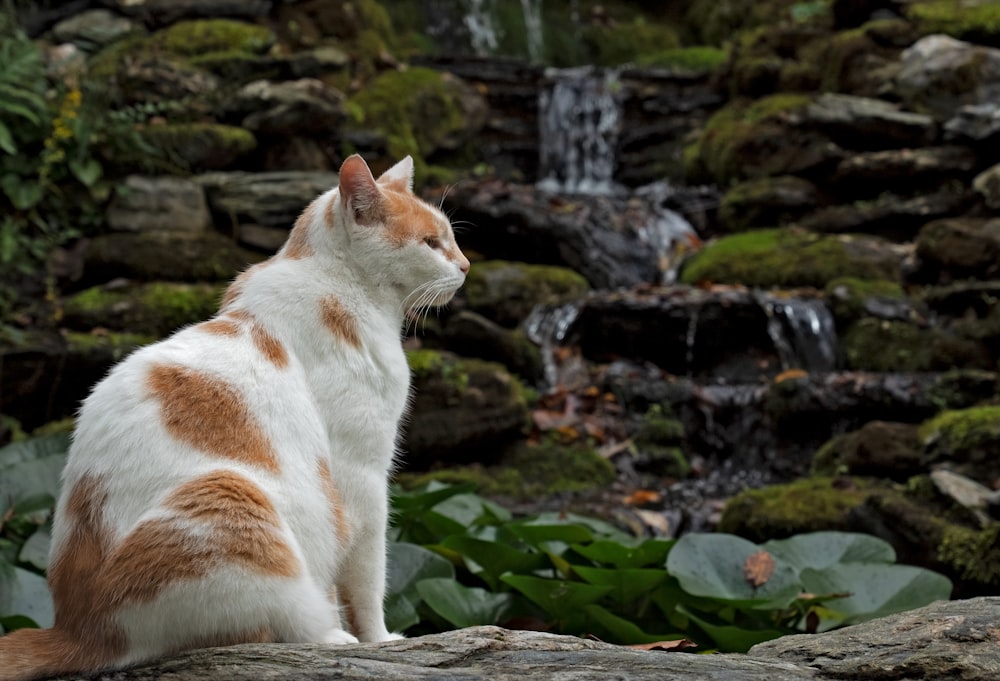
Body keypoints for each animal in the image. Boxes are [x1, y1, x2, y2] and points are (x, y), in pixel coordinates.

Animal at [0, 154, 470, 680]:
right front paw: (380, 640)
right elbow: (366, 578)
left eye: (450, 238)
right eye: (431, 243)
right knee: (285, 622)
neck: (338, 284)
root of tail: (72, 628)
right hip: (230, 498)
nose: (466, 266)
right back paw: (332, 636)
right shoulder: (360, 481)